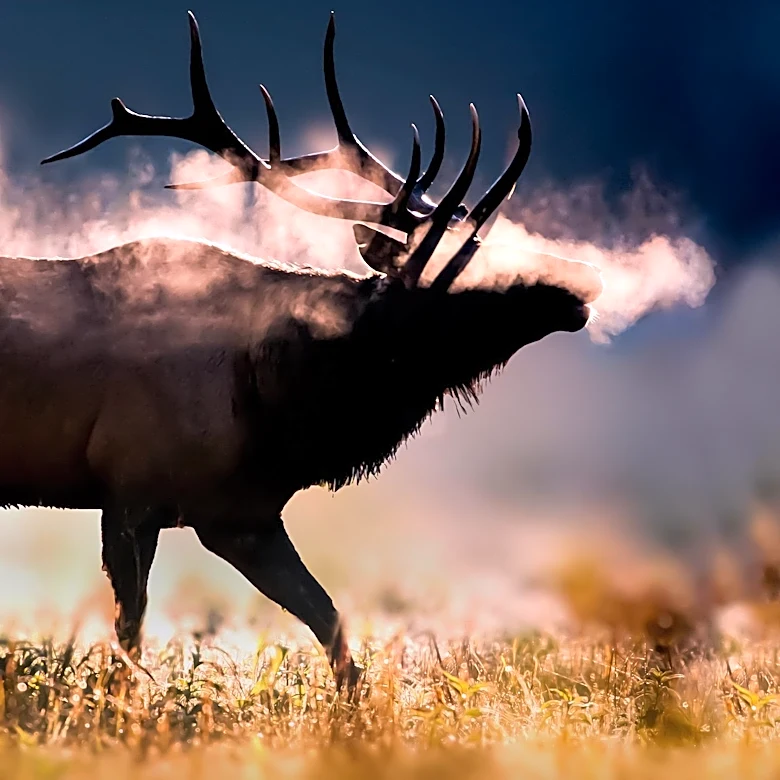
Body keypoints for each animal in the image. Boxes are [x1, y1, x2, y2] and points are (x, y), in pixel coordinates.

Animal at [0, 11, 602, 689]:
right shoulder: (130, 490)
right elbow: (130, 633)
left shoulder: (243, 511)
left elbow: (330, 619)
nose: (585, 279)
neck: (283, 404)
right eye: (462, 266)